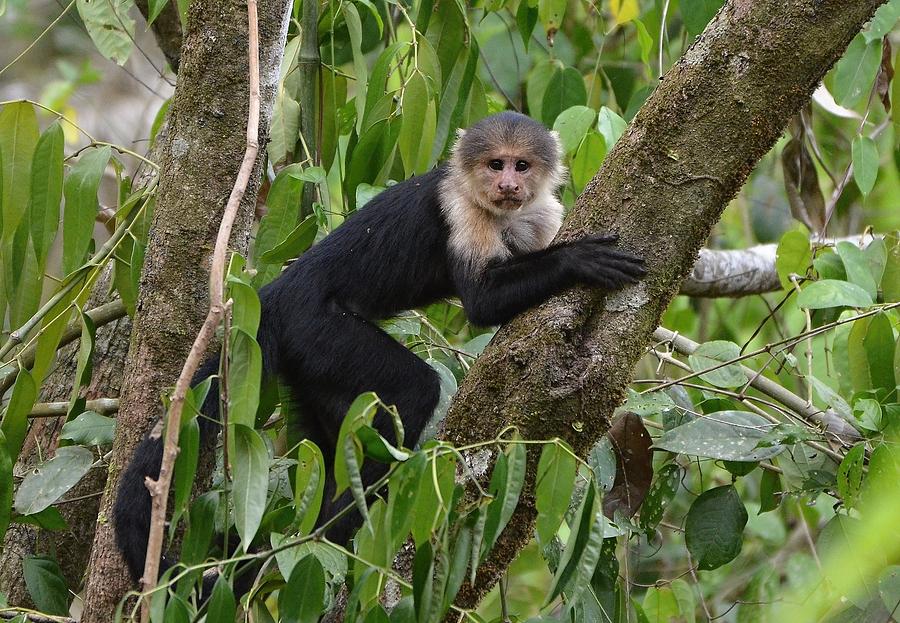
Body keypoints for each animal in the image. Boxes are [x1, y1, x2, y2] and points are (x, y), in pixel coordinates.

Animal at [114, 111, 648, 588]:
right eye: (495, 164)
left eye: (522, 165)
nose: (507, 185)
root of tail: (277, 296)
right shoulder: (458, 206)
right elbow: (481, 301)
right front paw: (577, 259)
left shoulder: (542, 214)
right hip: (319, 330)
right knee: (414, 388)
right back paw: (354, 509)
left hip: (309, 361)